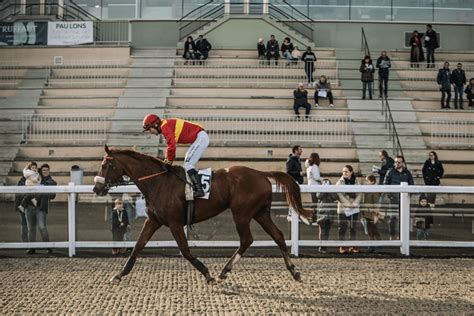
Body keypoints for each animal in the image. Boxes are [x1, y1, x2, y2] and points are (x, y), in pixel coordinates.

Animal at [94, 146, 312, 284]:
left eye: (106, 165)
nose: (97, 188)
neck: (158, 182)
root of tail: (261, 173)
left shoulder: (174, 222)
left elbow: (185, 250)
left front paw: (208, 274)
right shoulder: (154, 220)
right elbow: (137, 247)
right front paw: (119, 274)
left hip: (241, 213)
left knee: (247, 239)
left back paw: (224, 271)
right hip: (260, 213)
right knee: (278, 236)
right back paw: (294, 271)